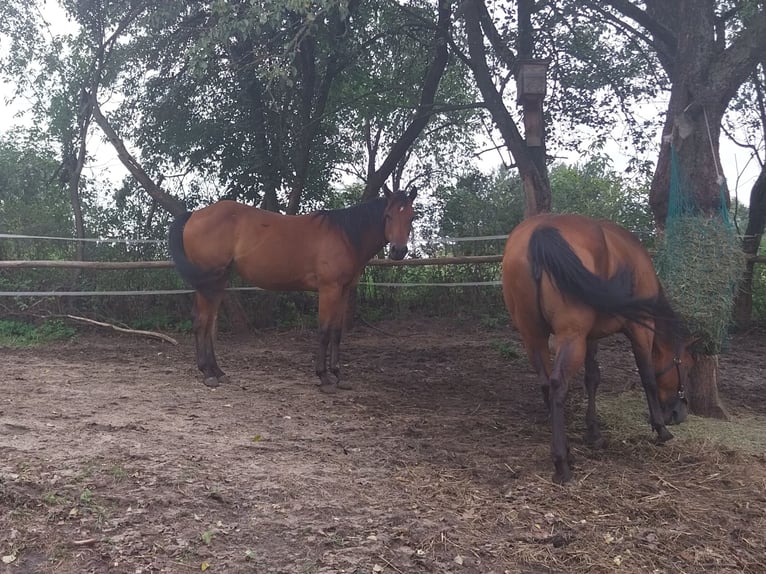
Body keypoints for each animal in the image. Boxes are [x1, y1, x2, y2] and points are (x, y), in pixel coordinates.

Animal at [170, 189, 420, 396]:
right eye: (388, 215)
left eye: (411, 217)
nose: (398, 251)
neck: (345, 235)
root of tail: (194, 214)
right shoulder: (329, 289)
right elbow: (324, 332)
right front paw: (324, 378)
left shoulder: (343, 290)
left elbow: (337, 333)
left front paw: (338, 375)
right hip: (210, 281)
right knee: (202, 321)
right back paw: (208, 373)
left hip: (217, 281)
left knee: (207, 321)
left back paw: (217, 371)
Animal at [504, 214, 696, 484]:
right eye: (687, 368)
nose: (680, 413)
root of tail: (541, 230)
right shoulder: (641, 329)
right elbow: (647, 376)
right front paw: (661, 428)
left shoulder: (591, 336)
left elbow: (592, 378)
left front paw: (593, 432)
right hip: (570, 337)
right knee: (557, 384)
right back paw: (562, 463)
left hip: (533, 336)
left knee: (545, 383)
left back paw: (567, 451)